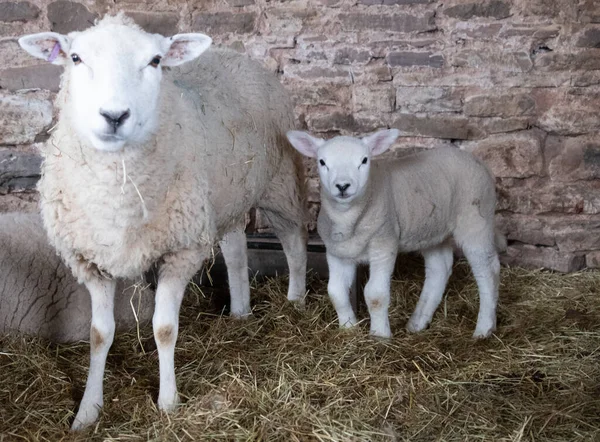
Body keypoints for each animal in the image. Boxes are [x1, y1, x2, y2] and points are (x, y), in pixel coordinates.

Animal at [18, 14, 308, 432]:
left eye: (155, 61)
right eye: (75, 57)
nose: (114, 116)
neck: (118, 190)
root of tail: (234, 54)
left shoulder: (180, 250)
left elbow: (164, 328)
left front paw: (168, 403)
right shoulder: (91, 260)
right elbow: (98, 334)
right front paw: (88, 411)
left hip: (279, 180)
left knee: (294, 240)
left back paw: (296, 299)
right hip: (224, 198)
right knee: (236, 249)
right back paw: (240, 312)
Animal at [286, 129, 502, 340]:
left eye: (364, 160)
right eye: (322, 162)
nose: (342, 186)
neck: (348, 218)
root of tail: (473, 158)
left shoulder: (384, 244)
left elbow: (375, 294)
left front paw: (379, 335)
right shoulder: (337, 252)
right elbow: (335, 292)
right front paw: (348, 329)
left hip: (476, 220)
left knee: (488, 270)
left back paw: (484, 329)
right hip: (432, 229)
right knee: (440, 269)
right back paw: (417, 323)